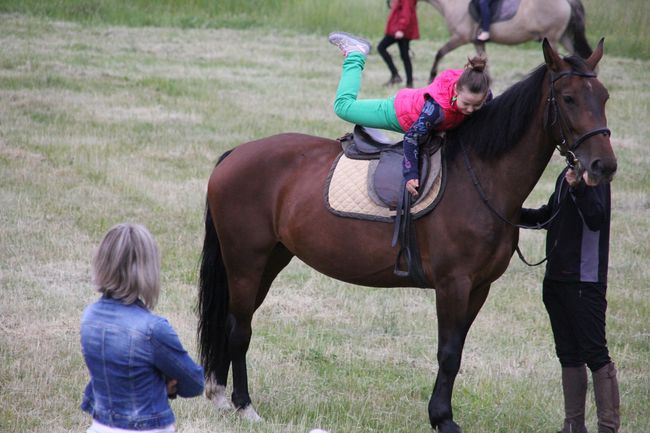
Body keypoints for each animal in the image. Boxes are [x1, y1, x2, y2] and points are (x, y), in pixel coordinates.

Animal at [196, 38, 612, 430]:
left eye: (605, 97)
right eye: (569, 98)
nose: (603, 165)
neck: (478, 178)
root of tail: (234, 155)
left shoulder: (479, 288)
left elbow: (457, 351)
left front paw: (440, 414)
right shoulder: (453, 284)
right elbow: (448, 352)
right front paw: (442, 418)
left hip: (270, 259)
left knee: (233, 322)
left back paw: (221, 395)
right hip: (245, 261)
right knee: (240, 329)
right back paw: (244, 405)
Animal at [420, 0, 592, 81]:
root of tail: (567, 1)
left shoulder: (459, 38)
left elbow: (439, 53)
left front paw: (431, 78)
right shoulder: (478, 43)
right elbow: (484, 66)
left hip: (553, 39)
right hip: (565, 38)